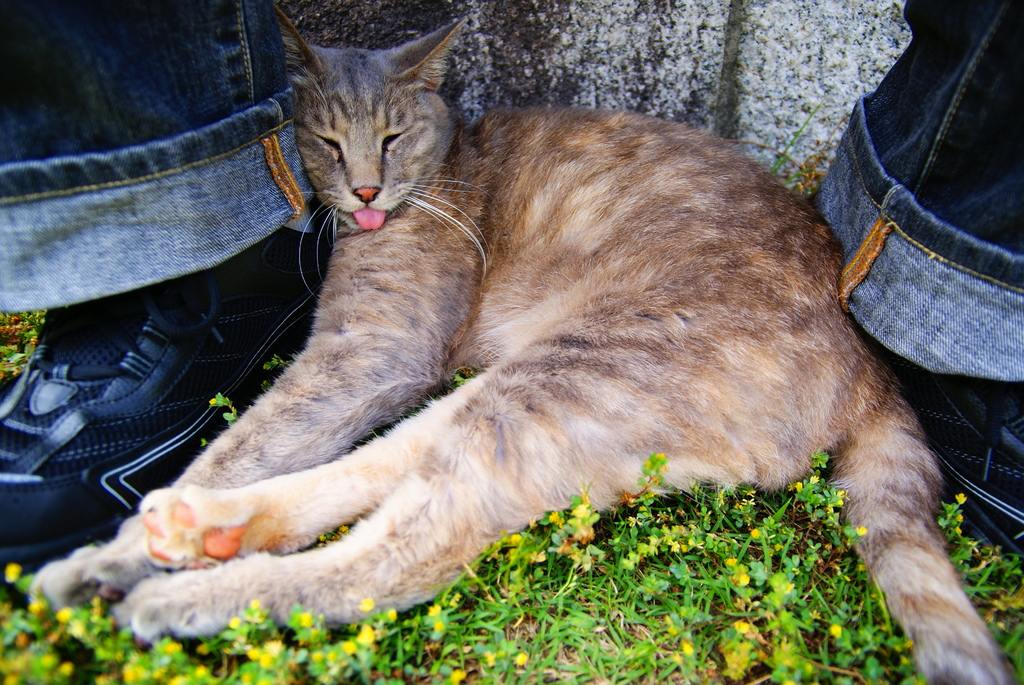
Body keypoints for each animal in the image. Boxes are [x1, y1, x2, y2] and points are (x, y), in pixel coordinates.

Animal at [34, 10, 1015, 683]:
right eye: (324, 139)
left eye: (389, 137)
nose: (363, 192)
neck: (433, 175)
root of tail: (871, 365)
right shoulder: (364, 358)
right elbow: (261, 441)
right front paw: (119, 542)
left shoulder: (373, 351)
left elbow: (248, 437)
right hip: (527, 386)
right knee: (386, 469)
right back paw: (170, 540)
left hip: (574, 373)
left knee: (399, 552)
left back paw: (184, 591)